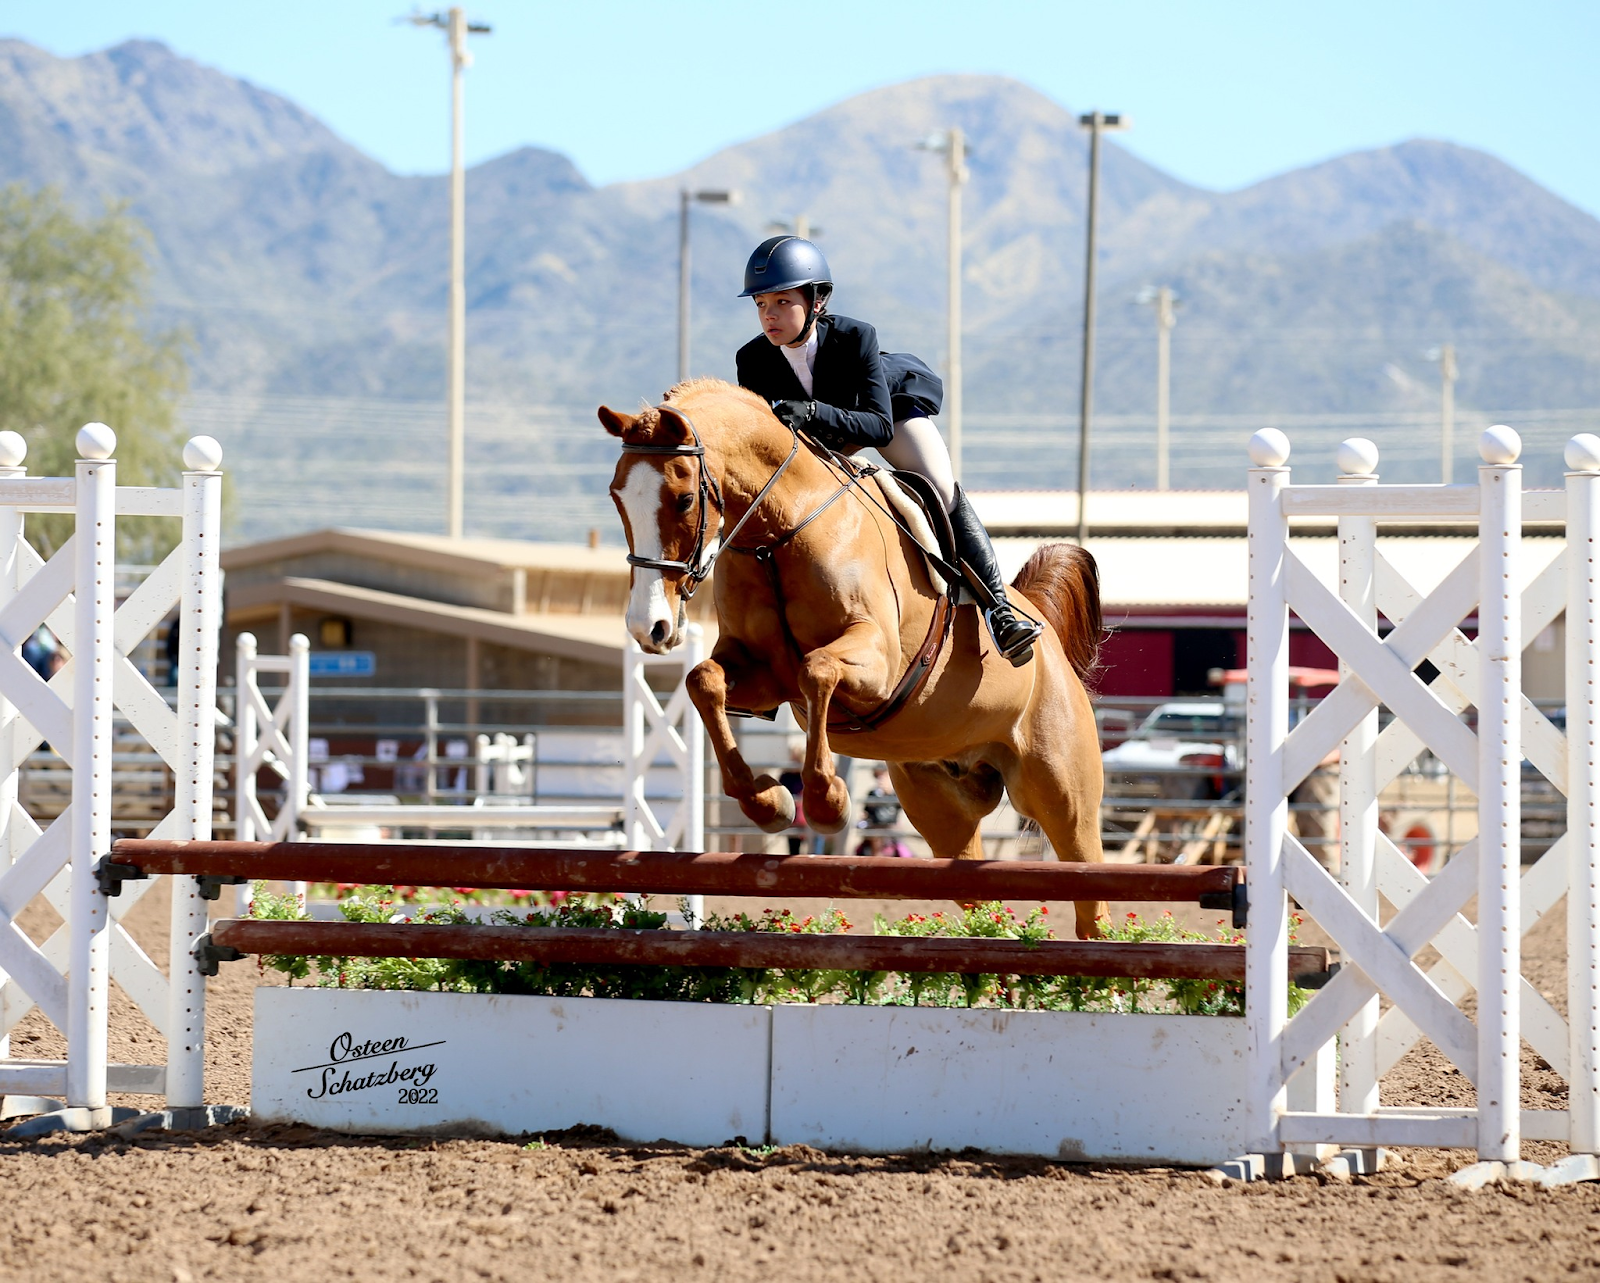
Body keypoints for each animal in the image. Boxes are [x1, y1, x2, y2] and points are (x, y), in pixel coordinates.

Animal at [601, 379, 1108, 939]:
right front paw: (767, 801)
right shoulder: (760, 672)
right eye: (617, 497)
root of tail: (1041, 623)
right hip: (939, 807)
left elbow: (816, 669)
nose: (649, 628)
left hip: (1061, 793)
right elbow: (703, 680)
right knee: (986, 902)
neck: (778, 531)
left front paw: (826, 802)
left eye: (685, 498)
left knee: (1089, 890)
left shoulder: (877, 663)